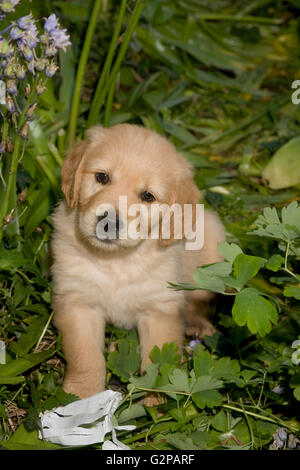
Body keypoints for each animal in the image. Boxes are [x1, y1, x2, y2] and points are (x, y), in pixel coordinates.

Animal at [51, 124, 225, 396]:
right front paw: (81, 395)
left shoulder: (160, 310)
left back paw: (197, 324)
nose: (108, 223)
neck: (118, 260)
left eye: (148, 196)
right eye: (102, 177)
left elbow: (159, 363)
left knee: (199, 298)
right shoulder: (77, 301)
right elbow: (86, 357)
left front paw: (156, 400)